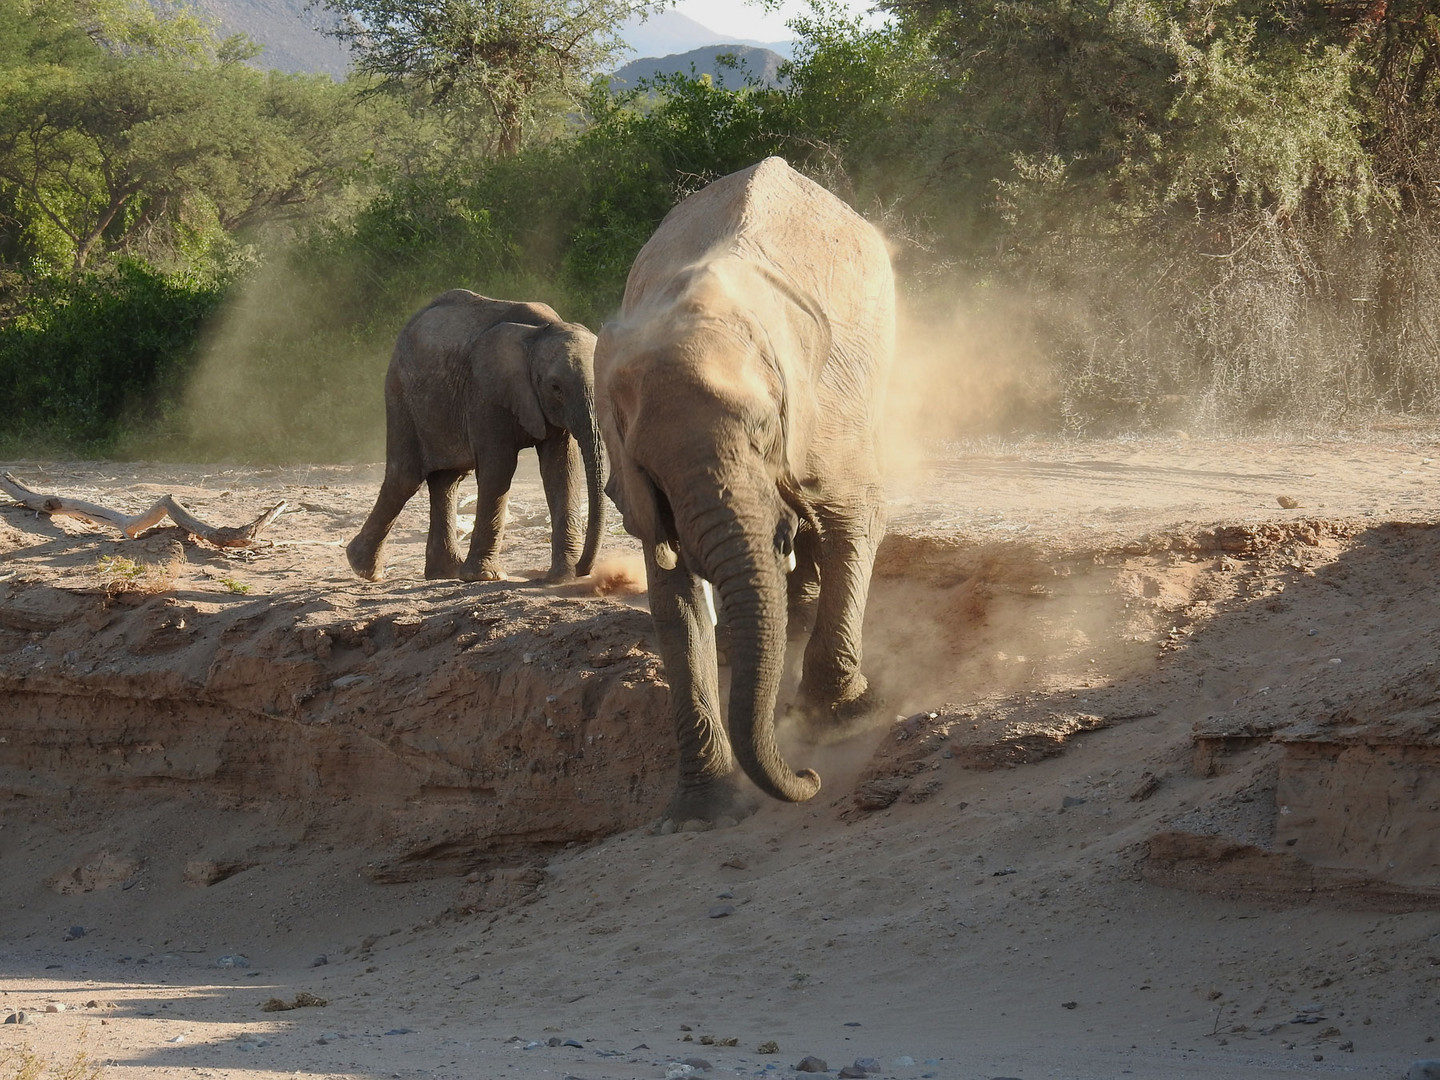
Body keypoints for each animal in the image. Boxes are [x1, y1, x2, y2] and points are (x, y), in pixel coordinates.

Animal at [345, 289, 604, 584]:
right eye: (555, 387)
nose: (584, 569)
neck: (540, 331)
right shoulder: (485, 392)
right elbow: (499, 468)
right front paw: (487, 577)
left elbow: (560, 469)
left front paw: (562, 577)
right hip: (400, 391)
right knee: (406, 477)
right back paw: (365, 568)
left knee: (448, 480)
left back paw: (445, 572)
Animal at [593, 156, 887, 823]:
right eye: (648, 466)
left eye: (762, 432)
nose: (808, 776)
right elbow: (671, 596)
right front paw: (703, 811)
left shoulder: (822, 403)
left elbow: (855, 516)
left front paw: (841, 720)